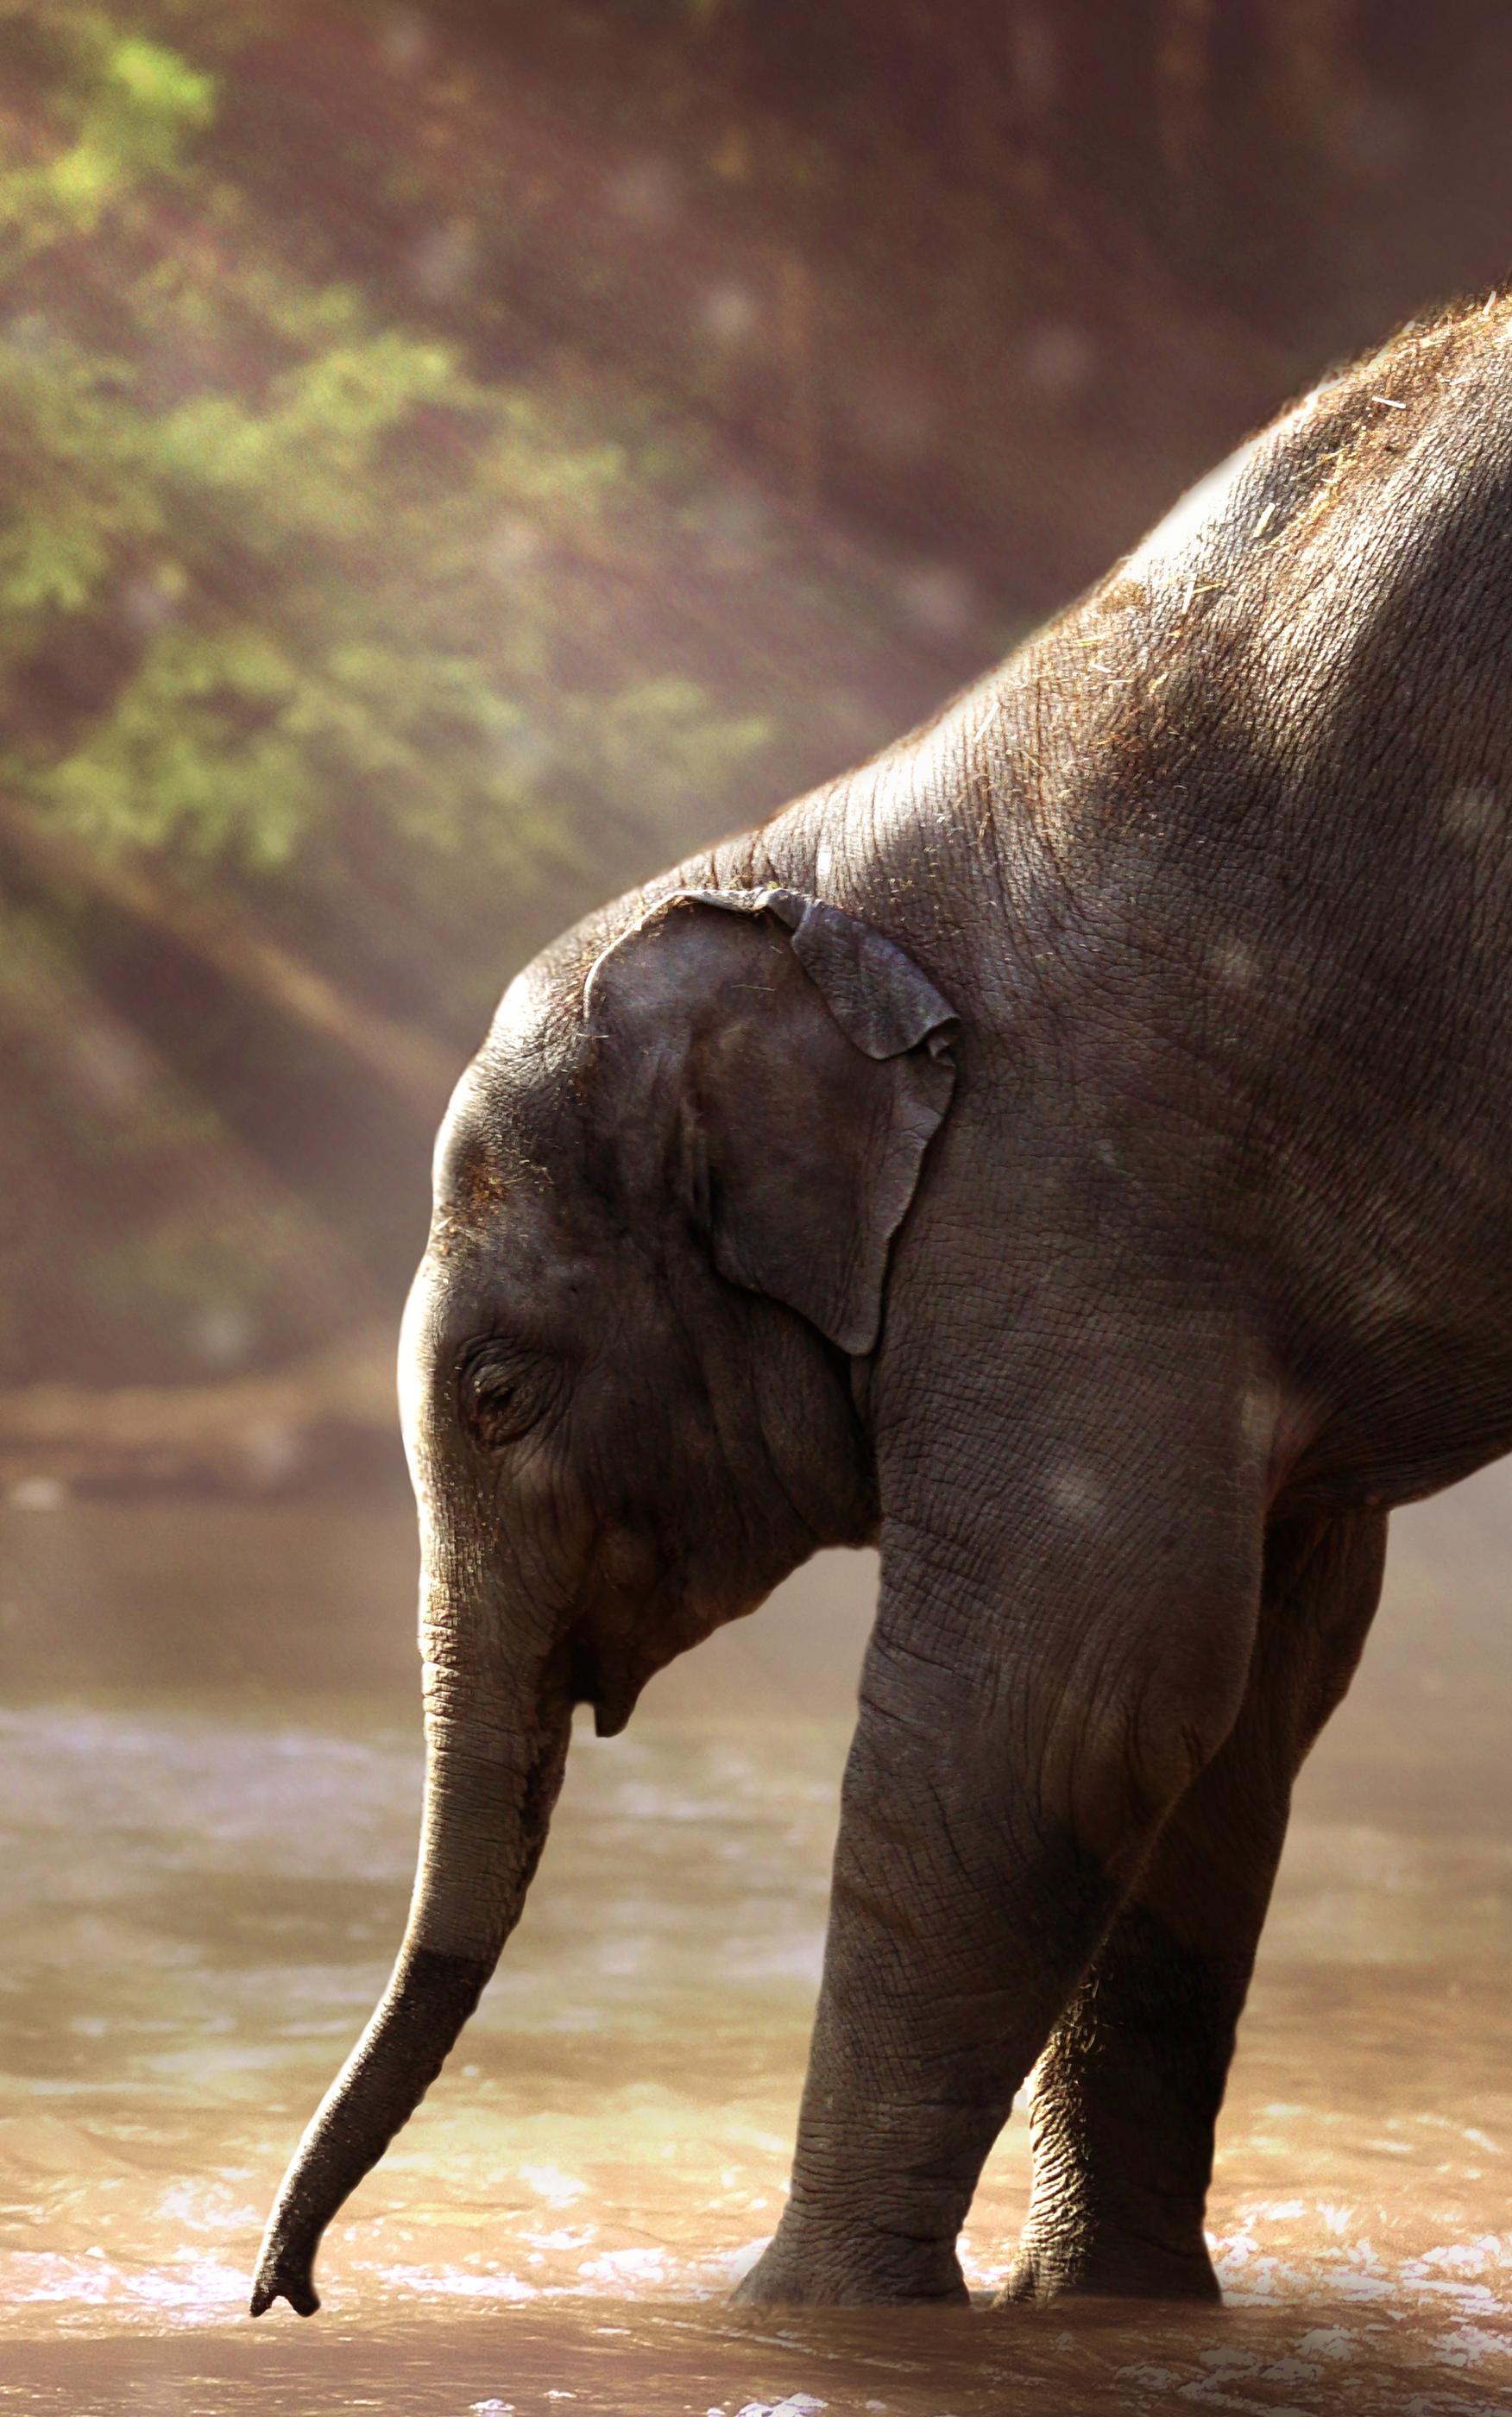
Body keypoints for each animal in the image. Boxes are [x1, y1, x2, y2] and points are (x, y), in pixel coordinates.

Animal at [251, 295, 1512, 2320]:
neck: (811, 871)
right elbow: (1237, 1703)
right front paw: (1100, 2313)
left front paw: (797, 2311)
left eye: (501, 1393)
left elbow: (1065, 1693)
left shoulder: (1073, 1207)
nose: (284, 2290)